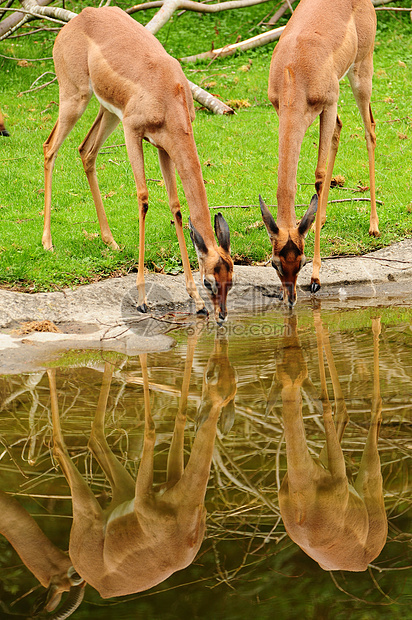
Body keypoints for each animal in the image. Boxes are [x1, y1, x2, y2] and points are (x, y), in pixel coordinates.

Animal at [44, 7, 235, 322]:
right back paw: (47, 243)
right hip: (76, 98)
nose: (221, 315)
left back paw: (110, 241)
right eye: (210, 280)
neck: (168, 93)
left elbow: (176, 206)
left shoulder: (164, 147)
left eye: (231, 277)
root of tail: (81, 16)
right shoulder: (133, 132)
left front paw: (196, 301)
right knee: (49, 149)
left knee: (86, 151)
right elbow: (143, 198)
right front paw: (143, 301)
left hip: (107, 111)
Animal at [48, 330, 237, 596]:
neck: (183, 515)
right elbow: (151, 430)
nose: (221, 347)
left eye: (233, 377)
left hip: (121, 493)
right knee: (60, 445)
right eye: (210, 375)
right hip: (89, 512)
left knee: (95, 436)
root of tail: (93, 581)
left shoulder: (168, 481)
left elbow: (179, 417)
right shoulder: (144, 500)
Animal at [260, 0, 380, 308]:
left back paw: (374, 226)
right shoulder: (283, 113)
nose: (290, 297)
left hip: (361, 72)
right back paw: (321, 219)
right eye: (276, 263)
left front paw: (316, 277)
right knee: (340, 129)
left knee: (370, 130)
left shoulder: (330, 101)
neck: (294, 72)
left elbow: (319, 174)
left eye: (301, 261)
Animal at [276, 314, 388, 572]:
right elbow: (330, 408)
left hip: (369, 480)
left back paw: (375, 322)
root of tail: (367, 559)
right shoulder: (329, 466)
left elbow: (325, 406)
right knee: (344, 412)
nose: (290, 333)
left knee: (374, 409)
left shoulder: (338, 473)